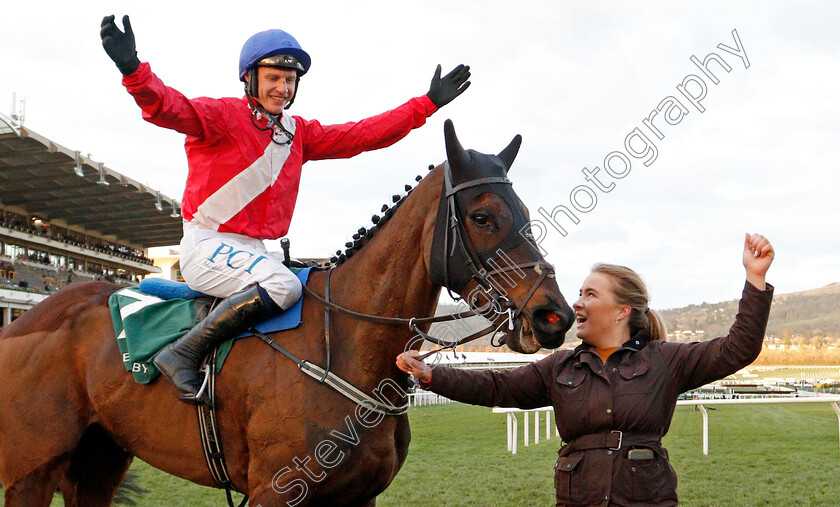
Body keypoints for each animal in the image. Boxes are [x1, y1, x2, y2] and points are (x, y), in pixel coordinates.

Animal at [0, 121, 576, 506]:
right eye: (482, 216)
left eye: (526, 214)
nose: (554, 317)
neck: (343, 348)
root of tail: (28, 319)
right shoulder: (275, 492)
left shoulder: (357, 498)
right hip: (31, 469)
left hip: (100, 456)